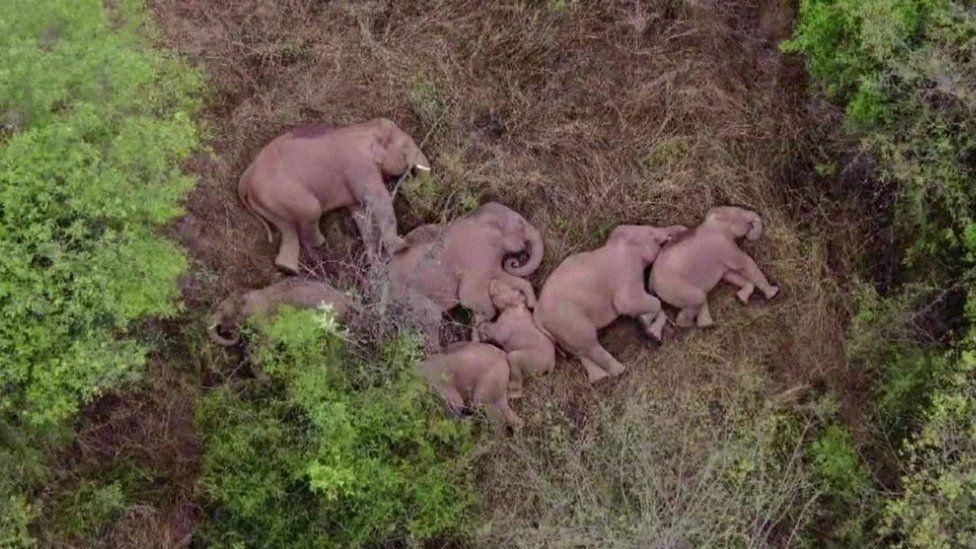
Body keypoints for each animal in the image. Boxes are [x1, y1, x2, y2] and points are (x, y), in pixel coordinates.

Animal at [238, 117, 428, 272]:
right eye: (406, 148)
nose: (408, 180)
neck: (364, 127)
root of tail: (245, 178)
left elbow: (360, 214)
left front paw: (376, 265)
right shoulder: (360, 165)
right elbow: (378, 199)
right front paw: (402, 247)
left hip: (268, 202)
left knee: (287, 228)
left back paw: (287, 269)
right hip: (282, 193)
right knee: (310, 212)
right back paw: (320, 245)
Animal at [390, 201, 544, 346]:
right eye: (520, 223)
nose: (514, 262)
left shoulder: (491, 260)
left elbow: (504, 277)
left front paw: (531, 305)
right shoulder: (476, 258)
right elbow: (469, 297)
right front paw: (479, 329)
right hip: (408, 292)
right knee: (431, 317)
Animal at [532, 222, 688, 382]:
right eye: (651, 233)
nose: (684, 229)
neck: (617, 242)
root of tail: (537, 315)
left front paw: (649, 328)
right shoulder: (627, 272)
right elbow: (631, 303)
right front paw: (649, 328)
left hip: (560, 330)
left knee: (579, 350)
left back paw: (599, 378)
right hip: (568, 320)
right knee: (589, 344)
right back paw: (621, 370)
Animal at [644, 204, 780, 338]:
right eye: (741, 215)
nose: (750, 237)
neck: (714, 220)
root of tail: (651, 281)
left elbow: (729, 275)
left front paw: (741, 299)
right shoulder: (725, 246)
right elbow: (746, 264)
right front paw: (773, 293)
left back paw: (707, 325)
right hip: (675, 289)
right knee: (698, 298)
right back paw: (691, 326)